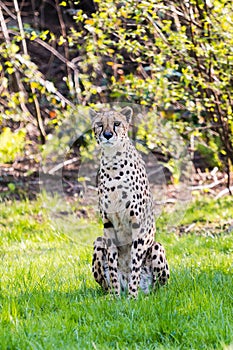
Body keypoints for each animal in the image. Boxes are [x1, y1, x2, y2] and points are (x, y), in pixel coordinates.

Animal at [90, 107, 169, 298]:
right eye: (100, 124)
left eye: (117, 123)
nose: (108, 134)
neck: (113, 163)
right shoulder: (108, 224)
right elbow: (112, 265)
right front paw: (116, 297)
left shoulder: (137, 223)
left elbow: (135, 263)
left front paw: (133, 297)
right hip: (98, 242)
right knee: (104, 283)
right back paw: (111, 294)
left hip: (157, 248)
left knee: (158, 286)